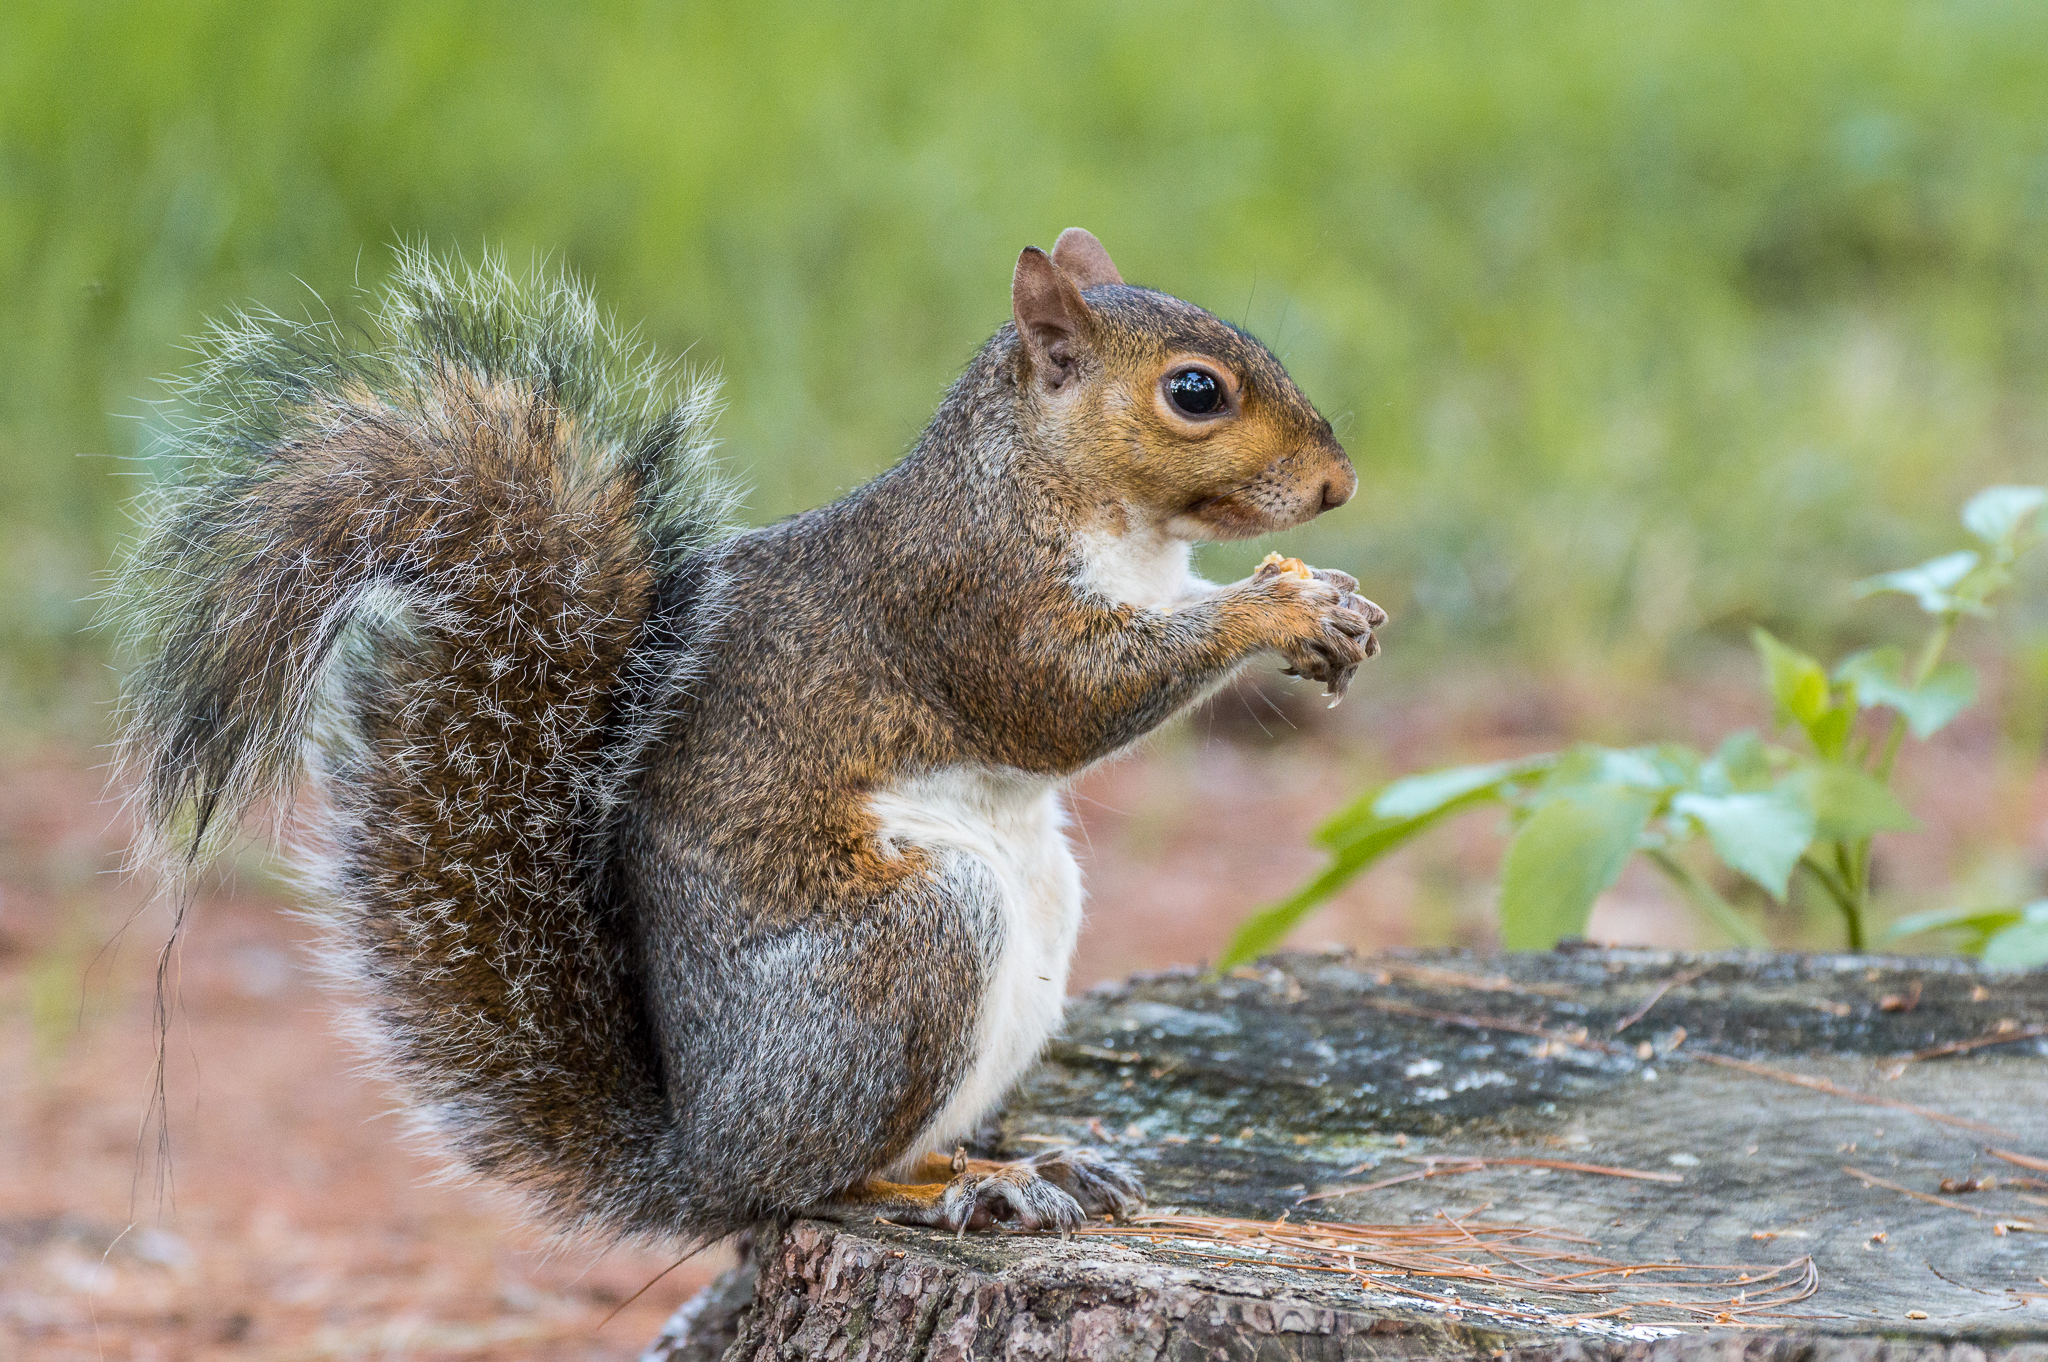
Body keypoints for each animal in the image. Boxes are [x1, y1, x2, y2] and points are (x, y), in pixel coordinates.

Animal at [112, 229, 1382, 1246]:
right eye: (1194, 392)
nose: (1337, 485)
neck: (1056, 486)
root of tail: (703, 1155)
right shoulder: (966, 599)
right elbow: (1063, 699)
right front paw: (1274, 609)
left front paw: (1329, 603)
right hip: (912, 950)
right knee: (817, 1184)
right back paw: (956, 1191)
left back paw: (1025, 1163)